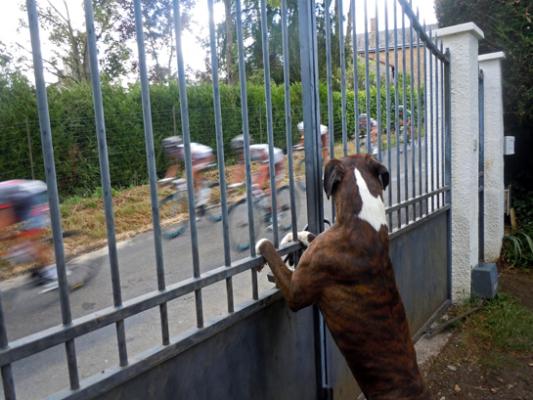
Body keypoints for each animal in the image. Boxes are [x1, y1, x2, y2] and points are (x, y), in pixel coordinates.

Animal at [256, 154, 430, 400]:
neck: (362, 219)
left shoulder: (295, 292)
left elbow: (273, 256)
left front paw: (264, 243)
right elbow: (311, 236)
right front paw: (297, 235)